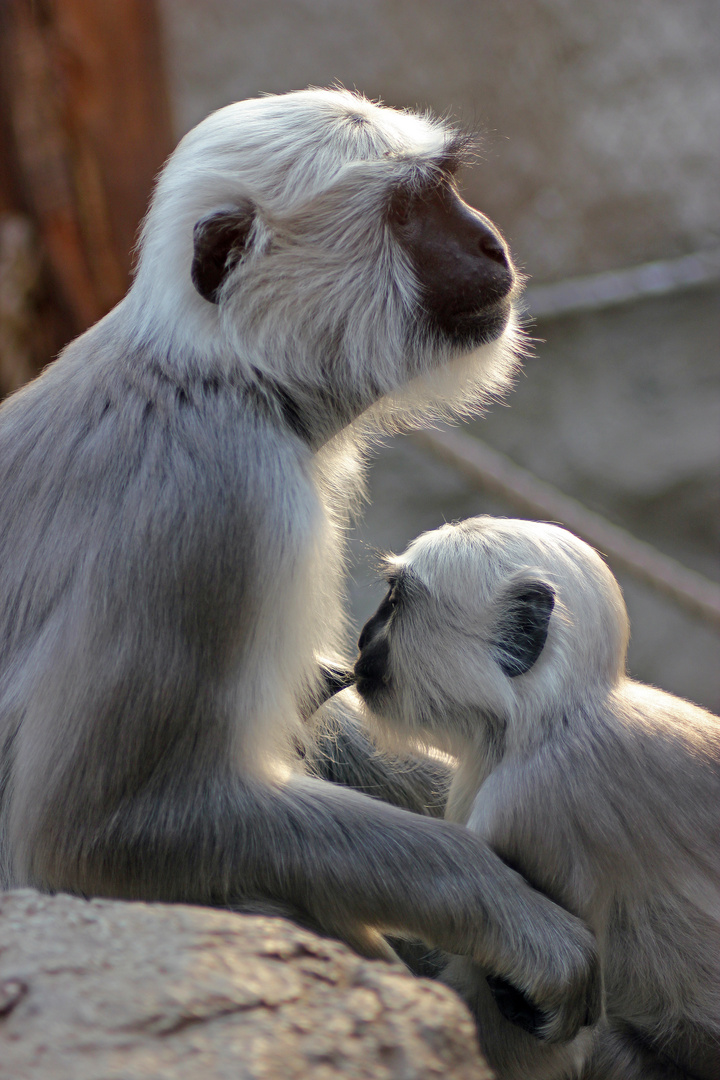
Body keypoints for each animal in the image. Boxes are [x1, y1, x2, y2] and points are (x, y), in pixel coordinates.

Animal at [0, 90, 600, 1036]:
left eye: (448, 188)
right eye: (409, 211)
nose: (489, 244)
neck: (216, 377)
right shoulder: (215, 503)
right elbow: (88, 833)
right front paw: (522, 923)